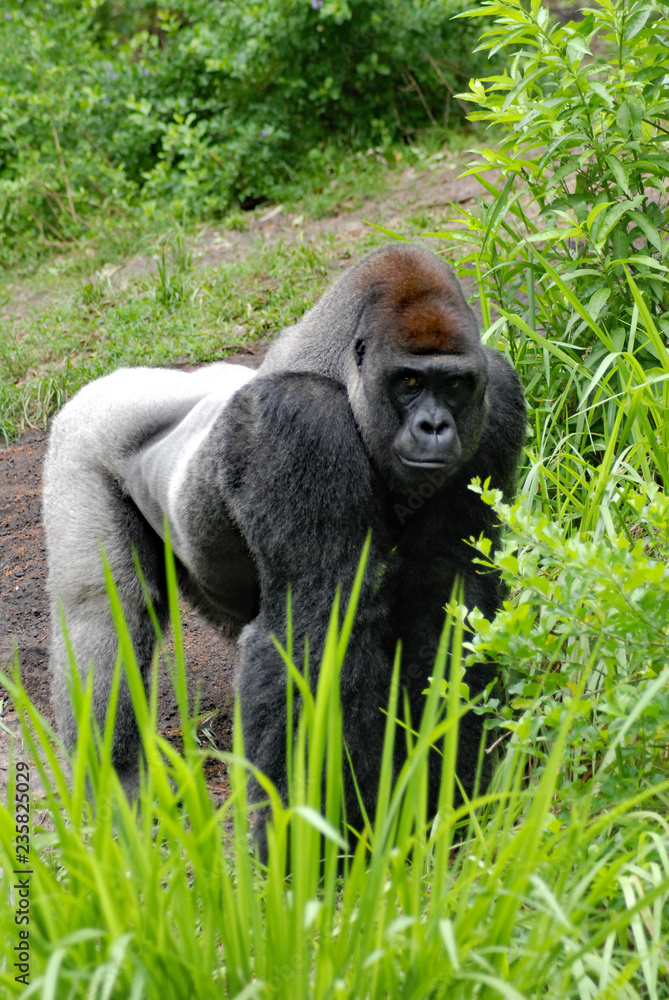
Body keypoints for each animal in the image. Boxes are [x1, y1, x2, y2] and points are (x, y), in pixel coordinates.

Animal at [44, 246, 528, 848]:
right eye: (410, 381)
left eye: (456, 386)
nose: (435, 426)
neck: (342, 374)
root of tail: (117, 379)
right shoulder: (301, 424)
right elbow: (313, 633)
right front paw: (308, 842)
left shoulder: (496, 398)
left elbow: (450, 602)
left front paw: (444, 804)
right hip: (84, 434)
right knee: (101, 614)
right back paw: (115, 781)